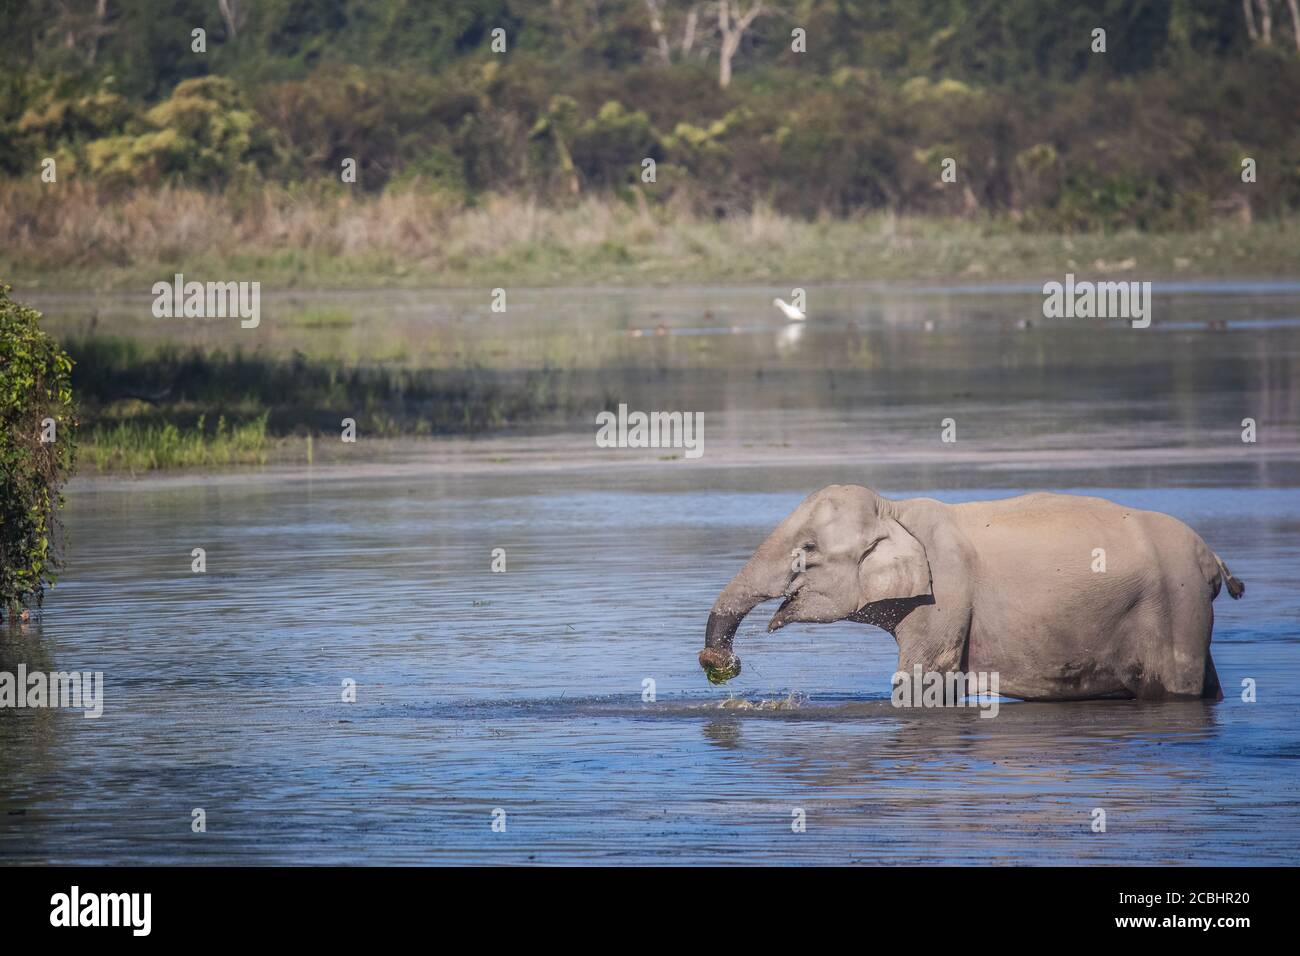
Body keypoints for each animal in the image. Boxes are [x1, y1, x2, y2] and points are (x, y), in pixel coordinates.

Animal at [696, 486, 1242, 702]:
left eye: (806, 551)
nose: (719, 662)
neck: (895, 509)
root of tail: (1212, 558)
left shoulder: (946, 594)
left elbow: (920, 684)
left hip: (1177, 605)